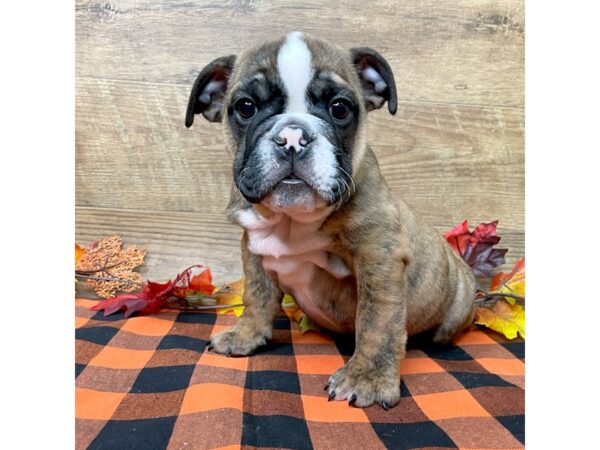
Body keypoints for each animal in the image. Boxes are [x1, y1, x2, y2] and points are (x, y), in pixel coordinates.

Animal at [185, 31, 476, 410]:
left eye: (340, 108)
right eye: (246, 107)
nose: (292, 137)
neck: (293, 220)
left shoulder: (378, 257)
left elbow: (377, 320)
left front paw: (367, 378)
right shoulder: (253, 247)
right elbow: (257, 296)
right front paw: (247, 334)